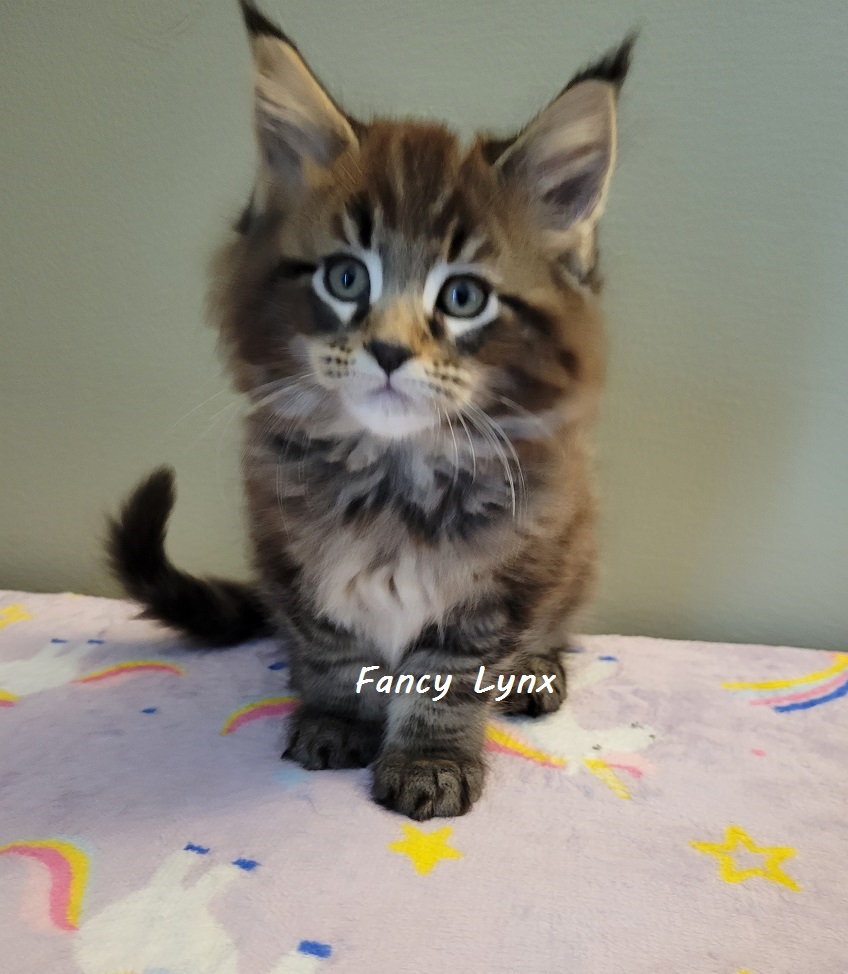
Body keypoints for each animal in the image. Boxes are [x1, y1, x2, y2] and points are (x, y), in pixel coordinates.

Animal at [106, 0, 634, 820]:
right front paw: (338, 719)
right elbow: (332, 647)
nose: (388, 350)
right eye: (346, 278)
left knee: (556, 620)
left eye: (463, 296)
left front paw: (429, 761)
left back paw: (537, 667)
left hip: (571, 546)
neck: (394, 478)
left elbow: (447, 675)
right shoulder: (289, 551)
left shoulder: (500, 576)